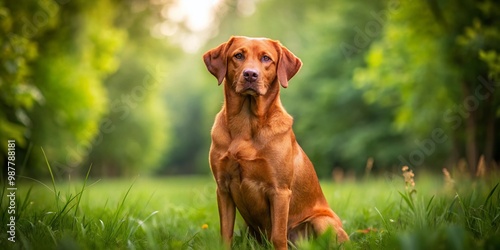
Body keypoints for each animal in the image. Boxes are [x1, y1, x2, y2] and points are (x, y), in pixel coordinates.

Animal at [203, 36, 348, 249]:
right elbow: (225, 234)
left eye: (266, 58)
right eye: (238, 55)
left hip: (322, 221)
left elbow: (278, 236)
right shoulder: (223, 188)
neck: (246, 123)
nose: (250, 74)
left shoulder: (279, 191)